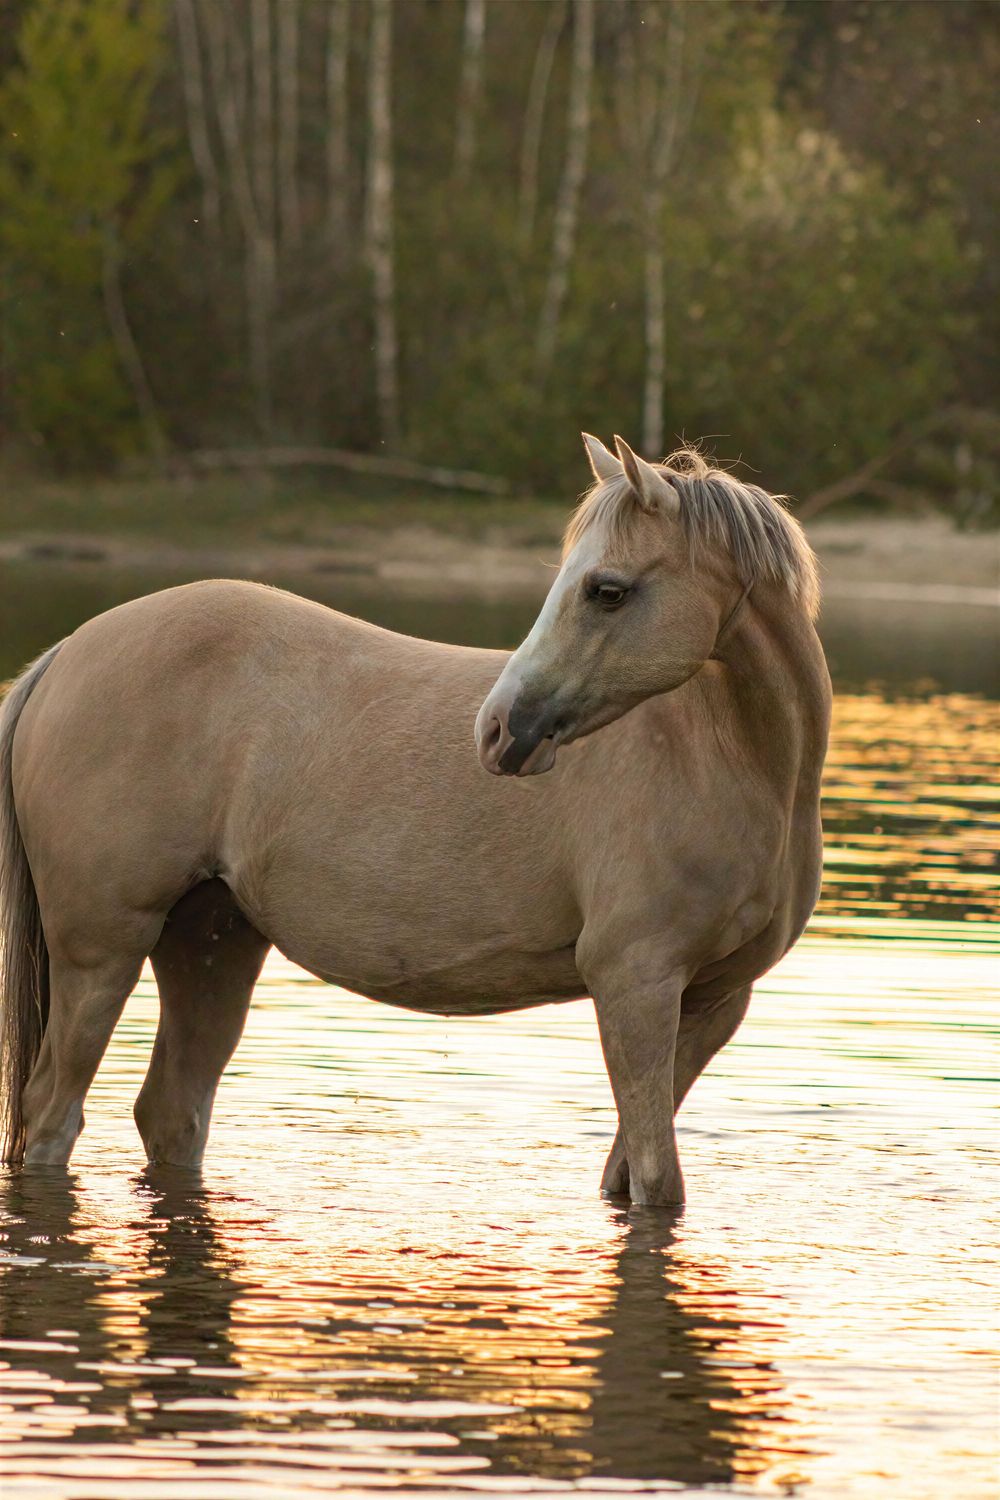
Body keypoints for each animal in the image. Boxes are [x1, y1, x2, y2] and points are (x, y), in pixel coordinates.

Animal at [0, 435, 830, 1205]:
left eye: (607, 590)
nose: (497, 729)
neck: (725, 761)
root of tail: (66, 654)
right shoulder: (635, 984)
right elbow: (657, 1185)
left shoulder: (713, 1001)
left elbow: (628, 1176)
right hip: (102, 948)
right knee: (52, 1114)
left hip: (212, 938)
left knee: (170, 1110)